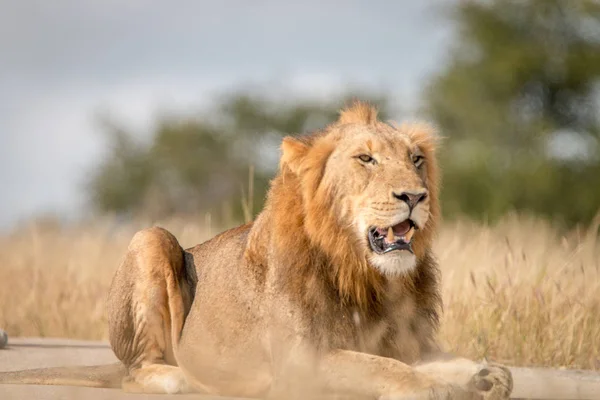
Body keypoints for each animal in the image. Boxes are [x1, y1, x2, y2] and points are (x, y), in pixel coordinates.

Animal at [0, 104, 512, 400]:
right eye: (366, 159)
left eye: (417, 160)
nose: (415, 196)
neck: (363, 272)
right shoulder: (300, 365)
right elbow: (384, 367)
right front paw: (435, 386)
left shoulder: (408, 341)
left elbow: (422, 359)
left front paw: (486, 374)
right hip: (151, 238)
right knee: (135, 371)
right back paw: (178, 379)